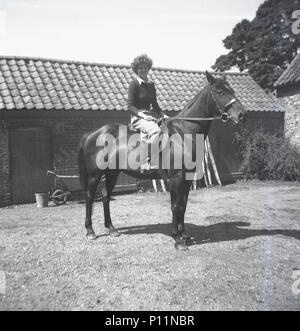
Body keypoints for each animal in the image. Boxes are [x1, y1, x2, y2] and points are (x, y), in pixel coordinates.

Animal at [78, 71, 247, 250]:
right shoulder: (176, 178)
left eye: (232, 90)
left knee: (105, 196)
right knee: (89, 197)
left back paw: (111, 229)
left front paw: (184, 234)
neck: (183, 133)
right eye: (220, 91)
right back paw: (90, 231)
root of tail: (93, 133)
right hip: (95, 175)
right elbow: (175, 206)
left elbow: (183, 205)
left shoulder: (187, 178)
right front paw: (177, 239)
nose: (242, 114)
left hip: (112, 173)